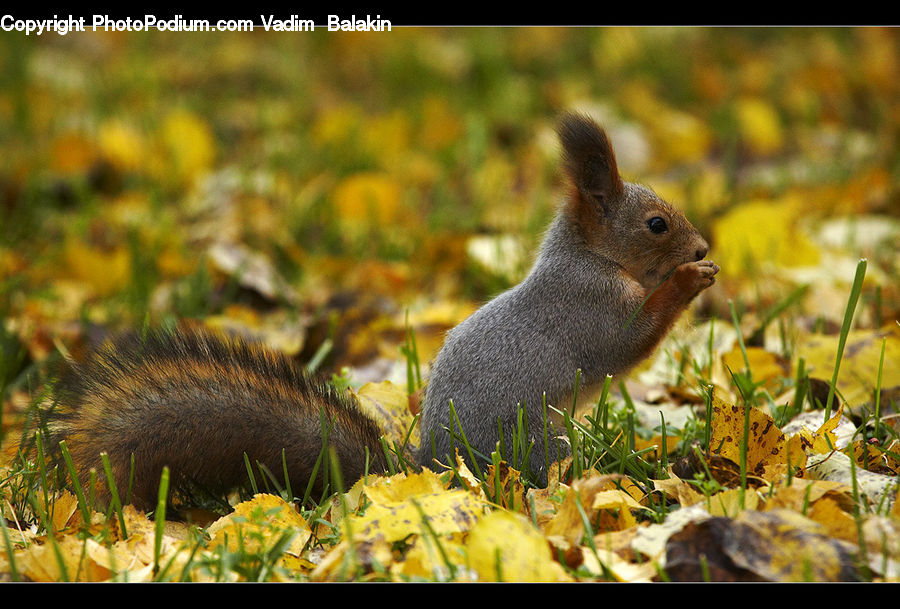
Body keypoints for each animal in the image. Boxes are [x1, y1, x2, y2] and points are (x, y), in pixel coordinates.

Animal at [39, 112, 717, 510]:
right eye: (656, 225)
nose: (704, 248)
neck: (588, 257)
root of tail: (434, 469)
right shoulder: (592, 308)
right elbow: (631, 342)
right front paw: (688, 281)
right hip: (538, 442)